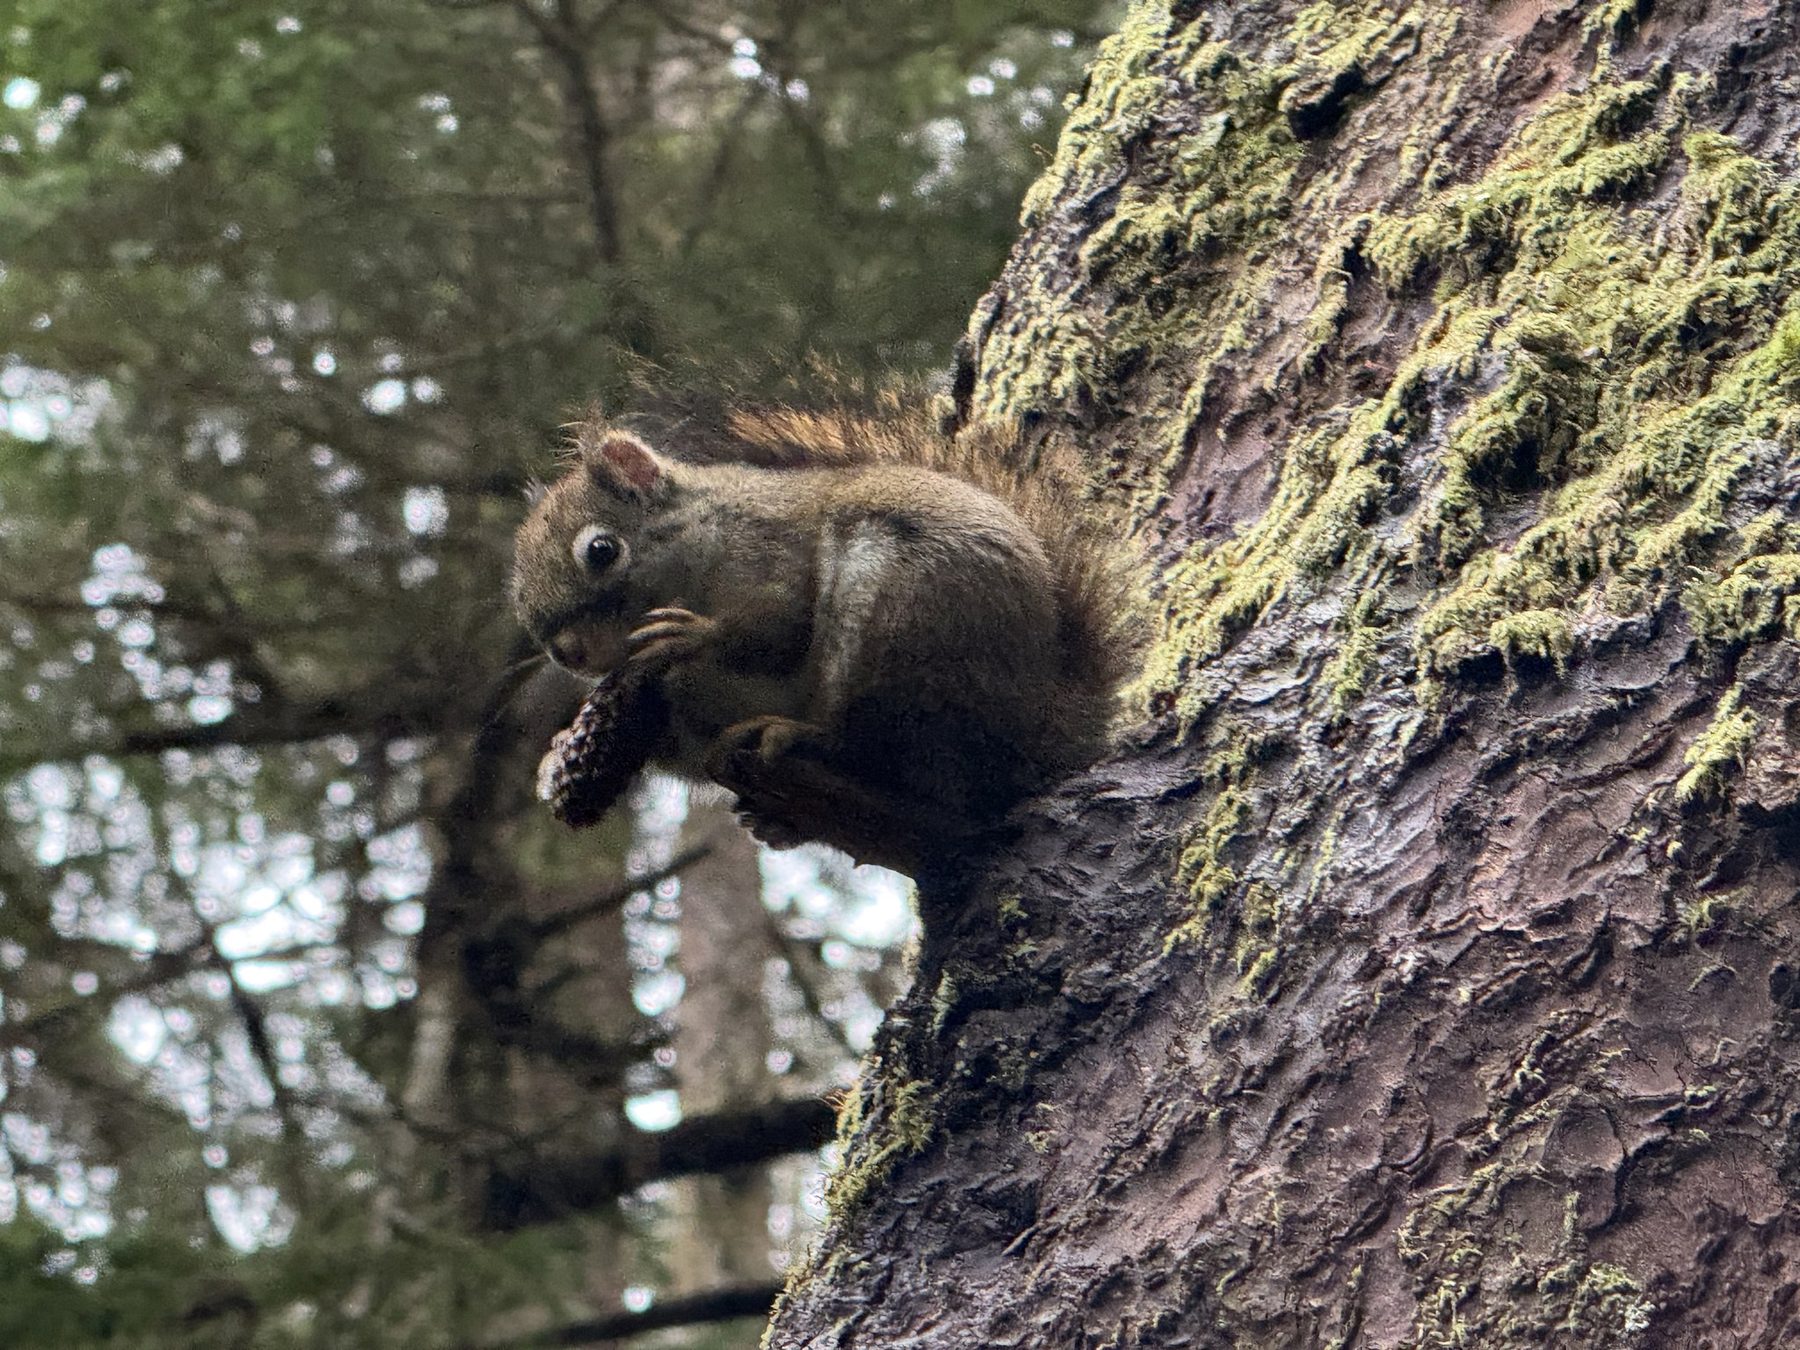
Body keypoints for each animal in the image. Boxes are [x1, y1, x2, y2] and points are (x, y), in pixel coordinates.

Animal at [510, 397, 1135, 874]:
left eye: (601, 550)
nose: (567, 653)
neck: (699, 534)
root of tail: (1032, 727)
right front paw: (560, 756)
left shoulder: (770, 548)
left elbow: (780, 624)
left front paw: (694, 636)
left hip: (900, 604)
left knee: (872, 743)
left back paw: (802, 736)